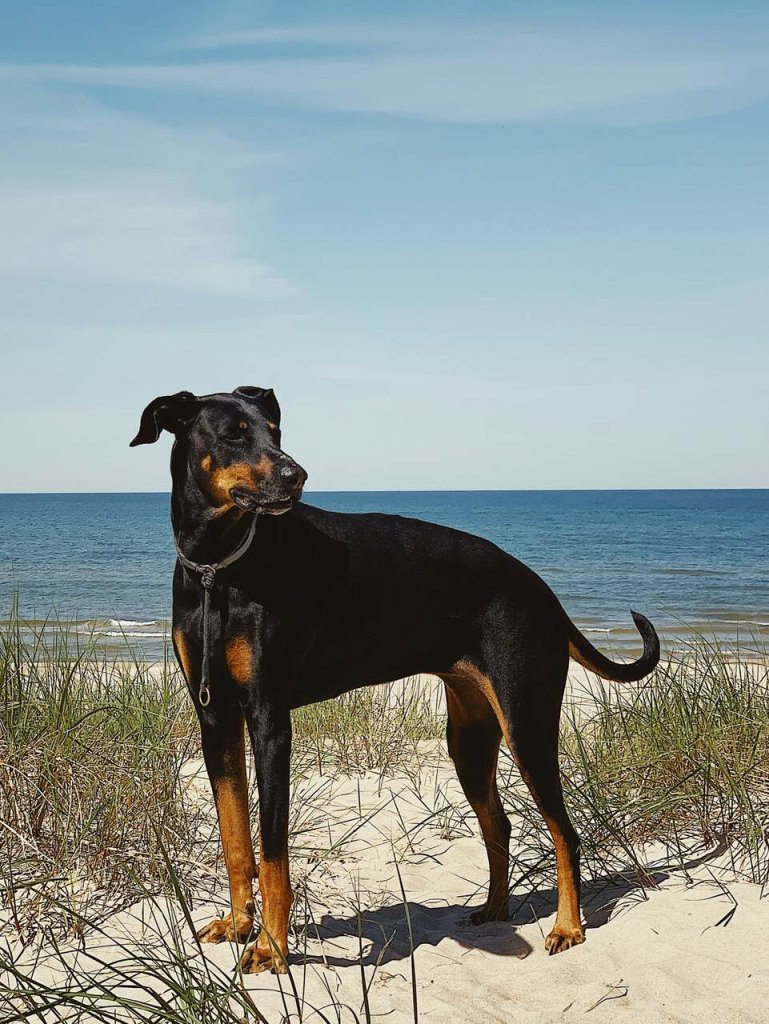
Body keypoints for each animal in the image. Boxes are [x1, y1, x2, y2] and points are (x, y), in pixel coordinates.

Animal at [129, 387, 659, 970]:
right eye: (234, 434)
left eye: (276, 431)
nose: (297, 475)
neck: (218, 570)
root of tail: (543, 592)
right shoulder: (216, 719)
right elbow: (236, 840)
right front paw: (240, 924)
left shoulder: (270, 722)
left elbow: (273, 853)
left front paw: (271, 947)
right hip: (469, 738)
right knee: (499, 824)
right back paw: (495, 909)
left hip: (527, 723)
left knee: (565, 833)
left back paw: (568, 926)